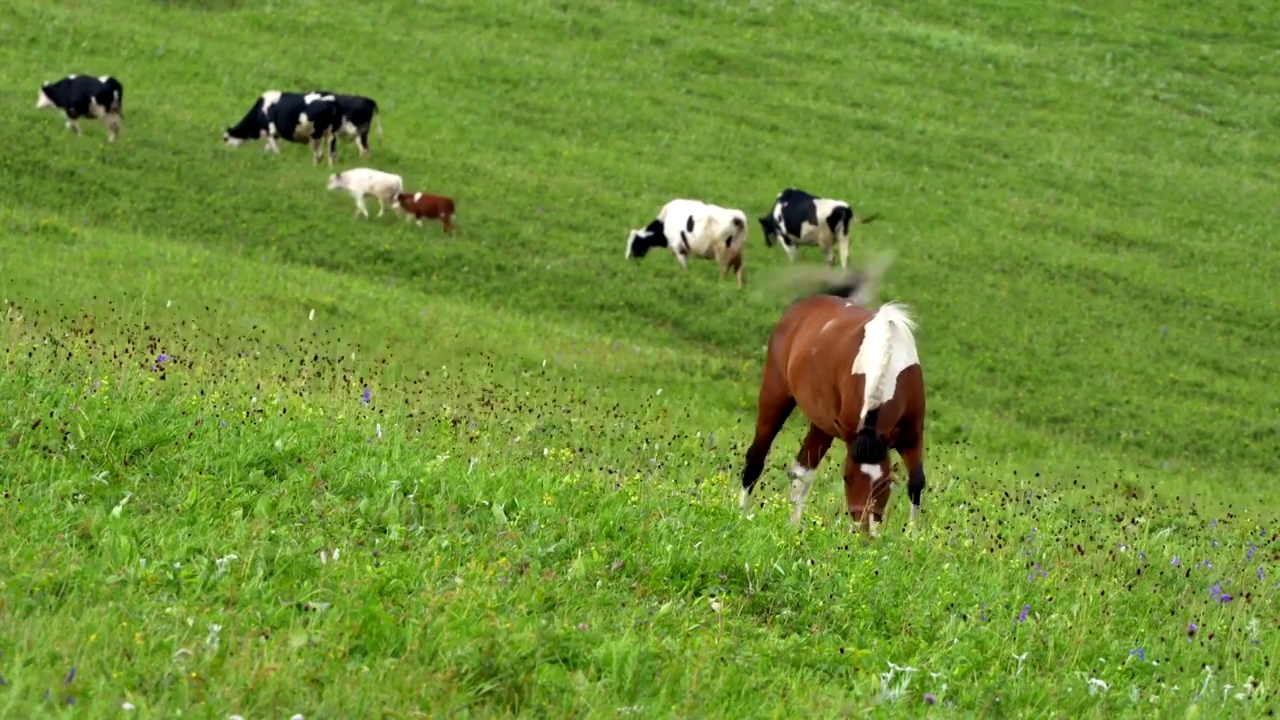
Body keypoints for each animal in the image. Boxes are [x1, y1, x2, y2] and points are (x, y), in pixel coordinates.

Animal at [737, 267, 926, 532]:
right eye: (847, 478)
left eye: (885, 482)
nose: (865, 532)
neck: (888, 357)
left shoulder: (912, 435)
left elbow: (916, 482)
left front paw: (913, 535)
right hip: (775, 396)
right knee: (756, 457)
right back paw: (741, 513)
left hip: (821, 424)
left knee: (802, 471)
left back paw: (793, 526)